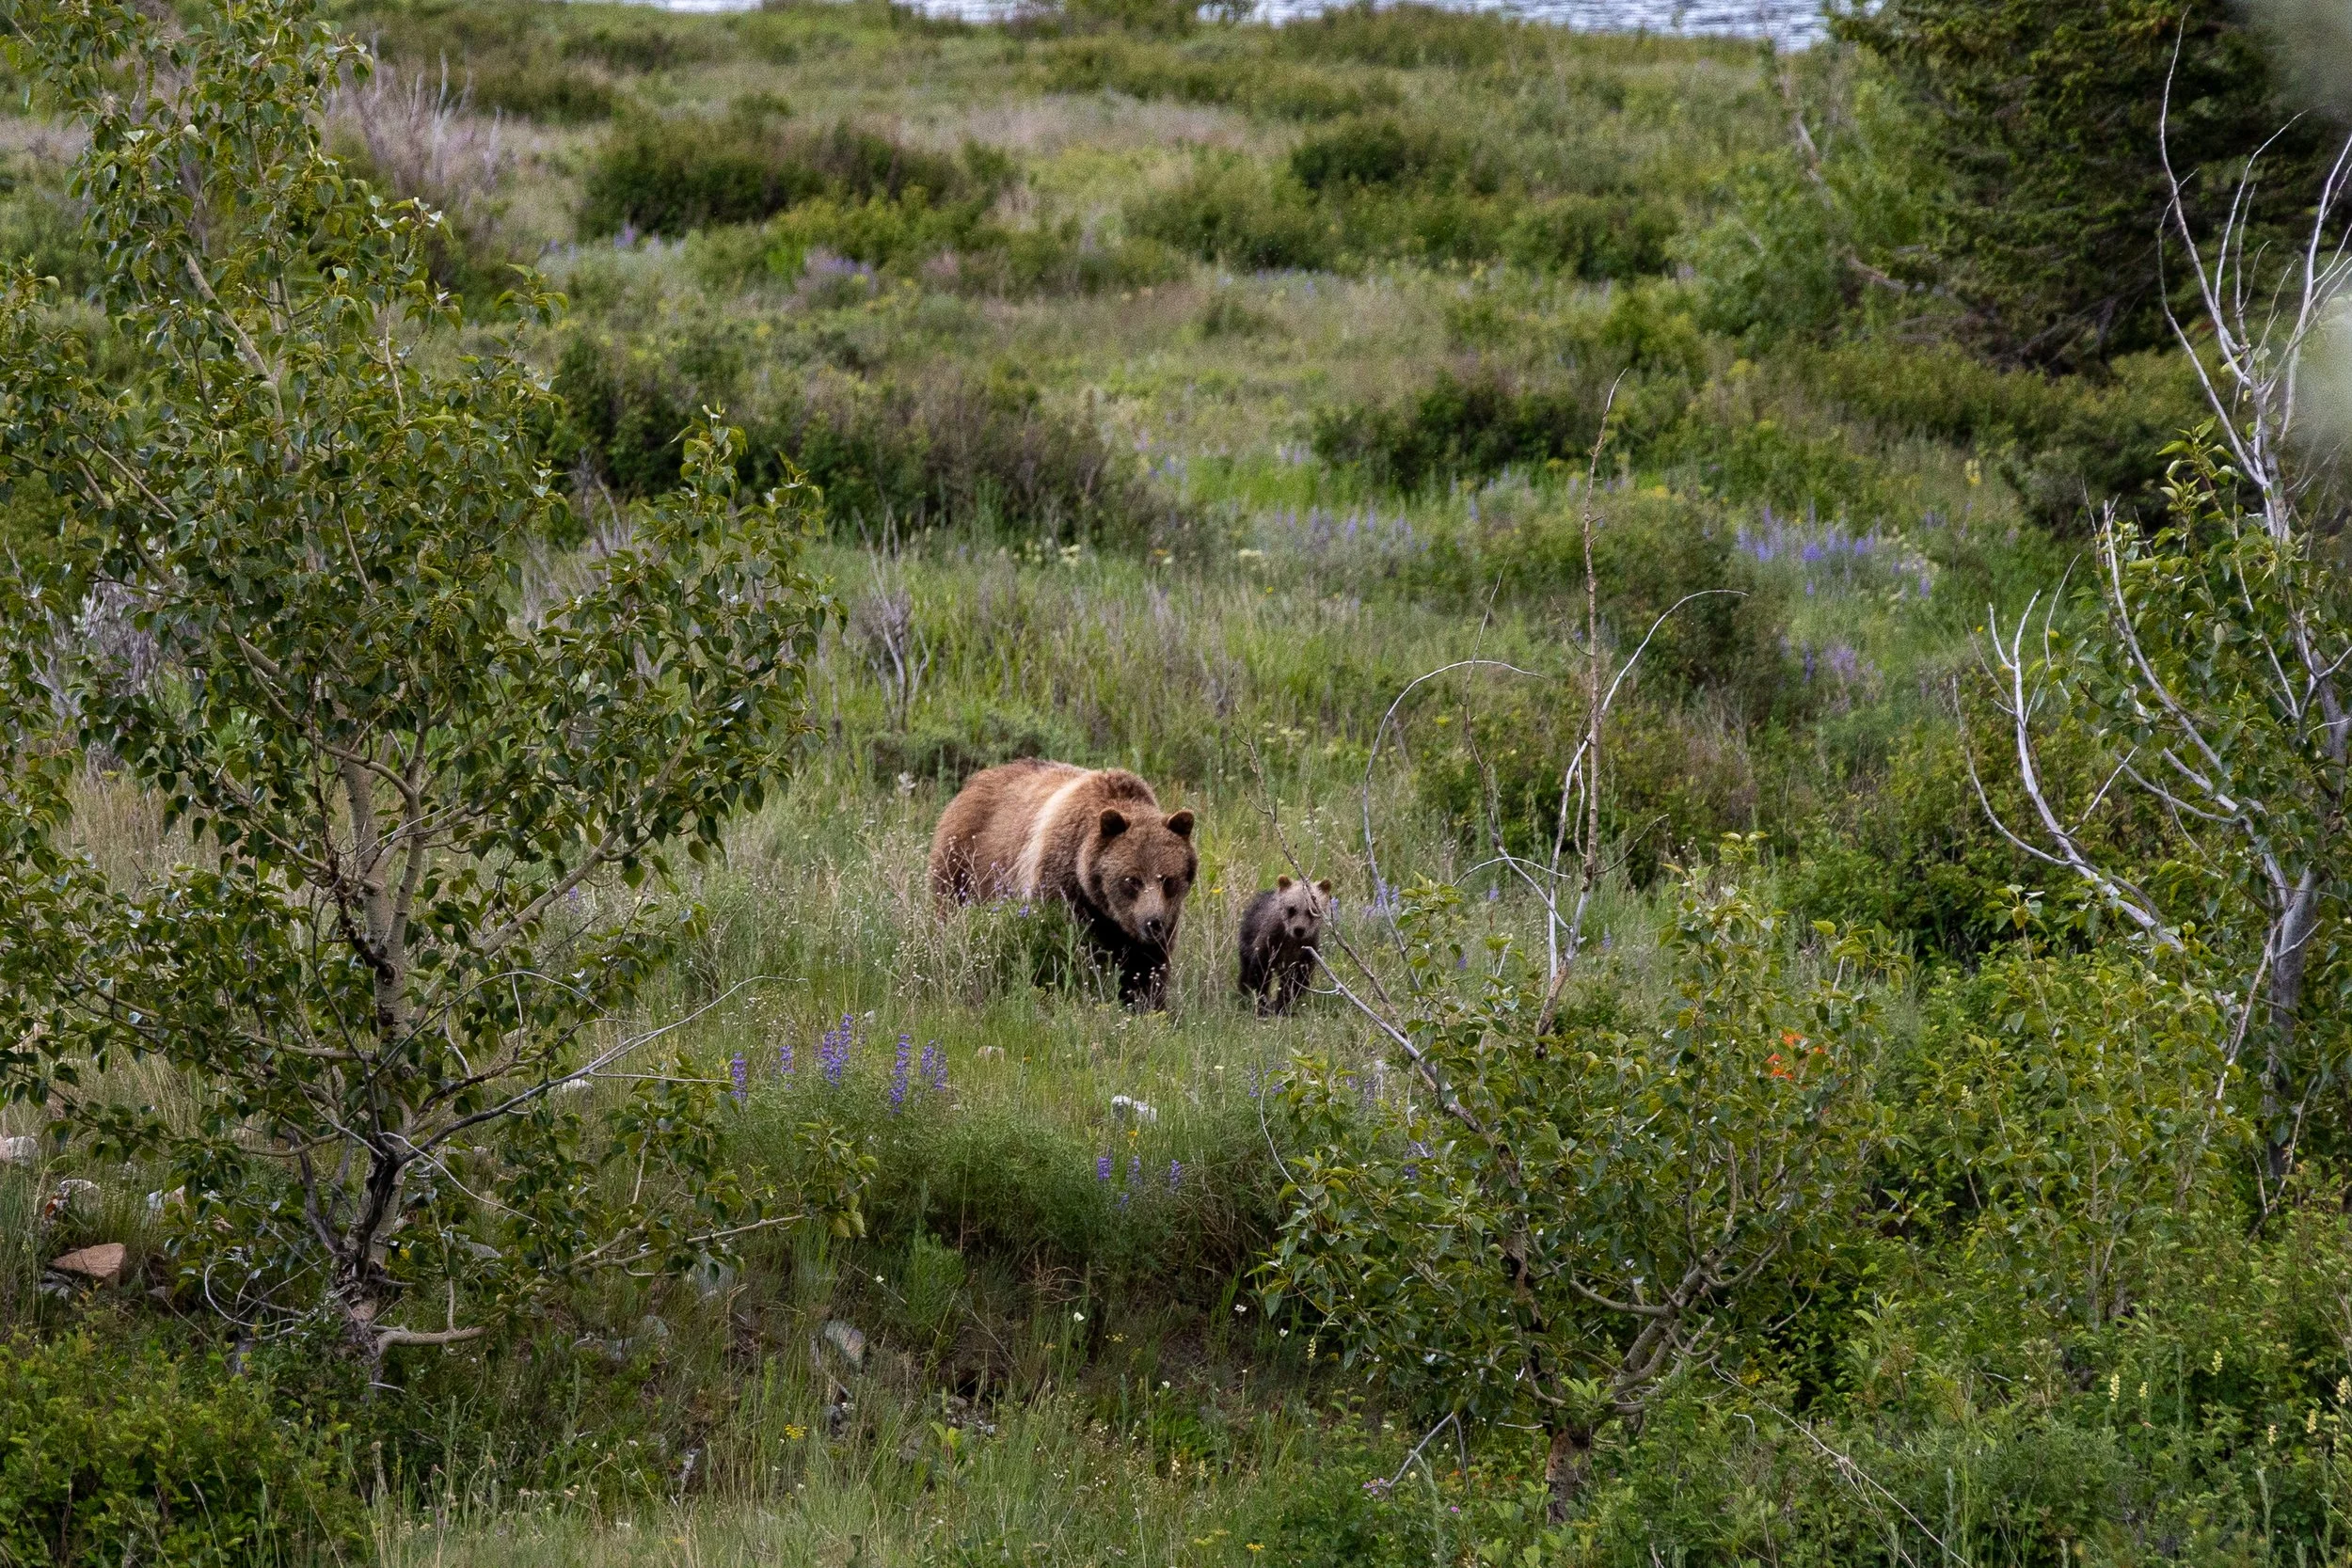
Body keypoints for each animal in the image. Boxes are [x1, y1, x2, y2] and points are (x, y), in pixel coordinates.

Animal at [930, 759, 1197, 1009]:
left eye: (1168, 879)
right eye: (1132, 880)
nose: (1153, 922)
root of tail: (974, 780)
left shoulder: (1162, 921)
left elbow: (1147, 966)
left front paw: (1146, 1004)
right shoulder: (1064, 889)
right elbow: (1066, 951)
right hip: (962, 866)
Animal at [1238, 874, 1332, 1016]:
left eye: (1312, 910)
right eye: (1291, 909)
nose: (1299, 930)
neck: (1290, 942)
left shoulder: (1305, 952)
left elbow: (1296, 982)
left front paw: (1282, 1007)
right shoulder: (1269, 943)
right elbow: (1259, 973)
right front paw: (1262, 1006)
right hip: (1247, 937)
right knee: (1245, 969)